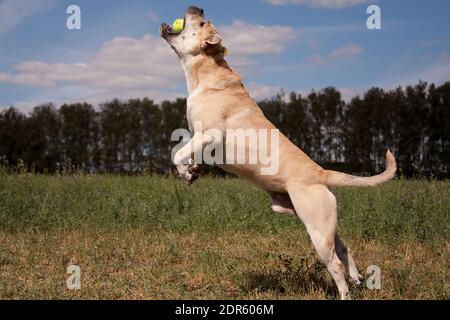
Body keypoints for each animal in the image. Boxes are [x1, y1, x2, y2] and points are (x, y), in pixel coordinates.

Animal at [160, 5, 396, 300]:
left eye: (203, 22)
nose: (198, 7)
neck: (206, 71)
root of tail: (322, 173)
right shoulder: (197, 137)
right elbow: (184, 152)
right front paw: (191, 172)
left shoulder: (208, 135)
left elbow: (176, 153)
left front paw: (186, 172)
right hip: (323, 223)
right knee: (345, 249)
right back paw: (358, 279)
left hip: (318, 230)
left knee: (335, 265)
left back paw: (345, 291)